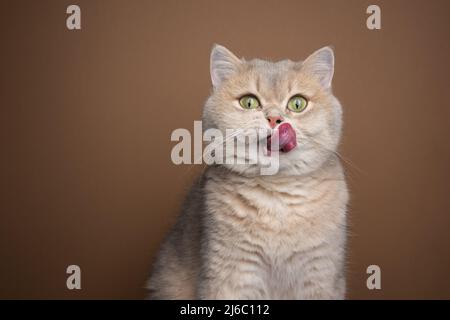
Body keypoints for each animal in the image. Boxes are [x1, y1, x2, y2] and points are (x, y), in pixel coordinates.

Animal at [147, 43, 348, 298]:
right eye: (249, 102)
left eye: (297, 104)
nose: (274, 119)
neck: (277, 197)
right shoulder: (231, 274)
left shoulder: (321, 273)